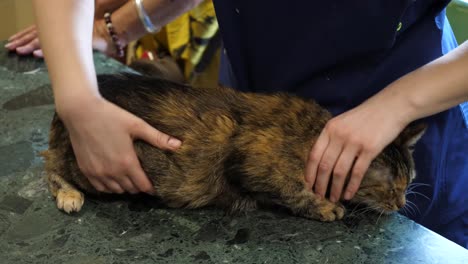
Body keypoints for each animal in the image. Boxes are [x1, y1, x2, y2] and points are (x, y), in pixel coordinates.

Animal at [42, 73, 426, 222]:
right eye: (390, 187)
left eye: (408, 183)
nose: (402, 203)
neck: (313, 137)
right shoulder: (245, 155)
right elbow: (292, 190)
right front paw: (324, 205)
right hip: (97, 165)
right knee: (50, 163)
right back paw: (69, 195)